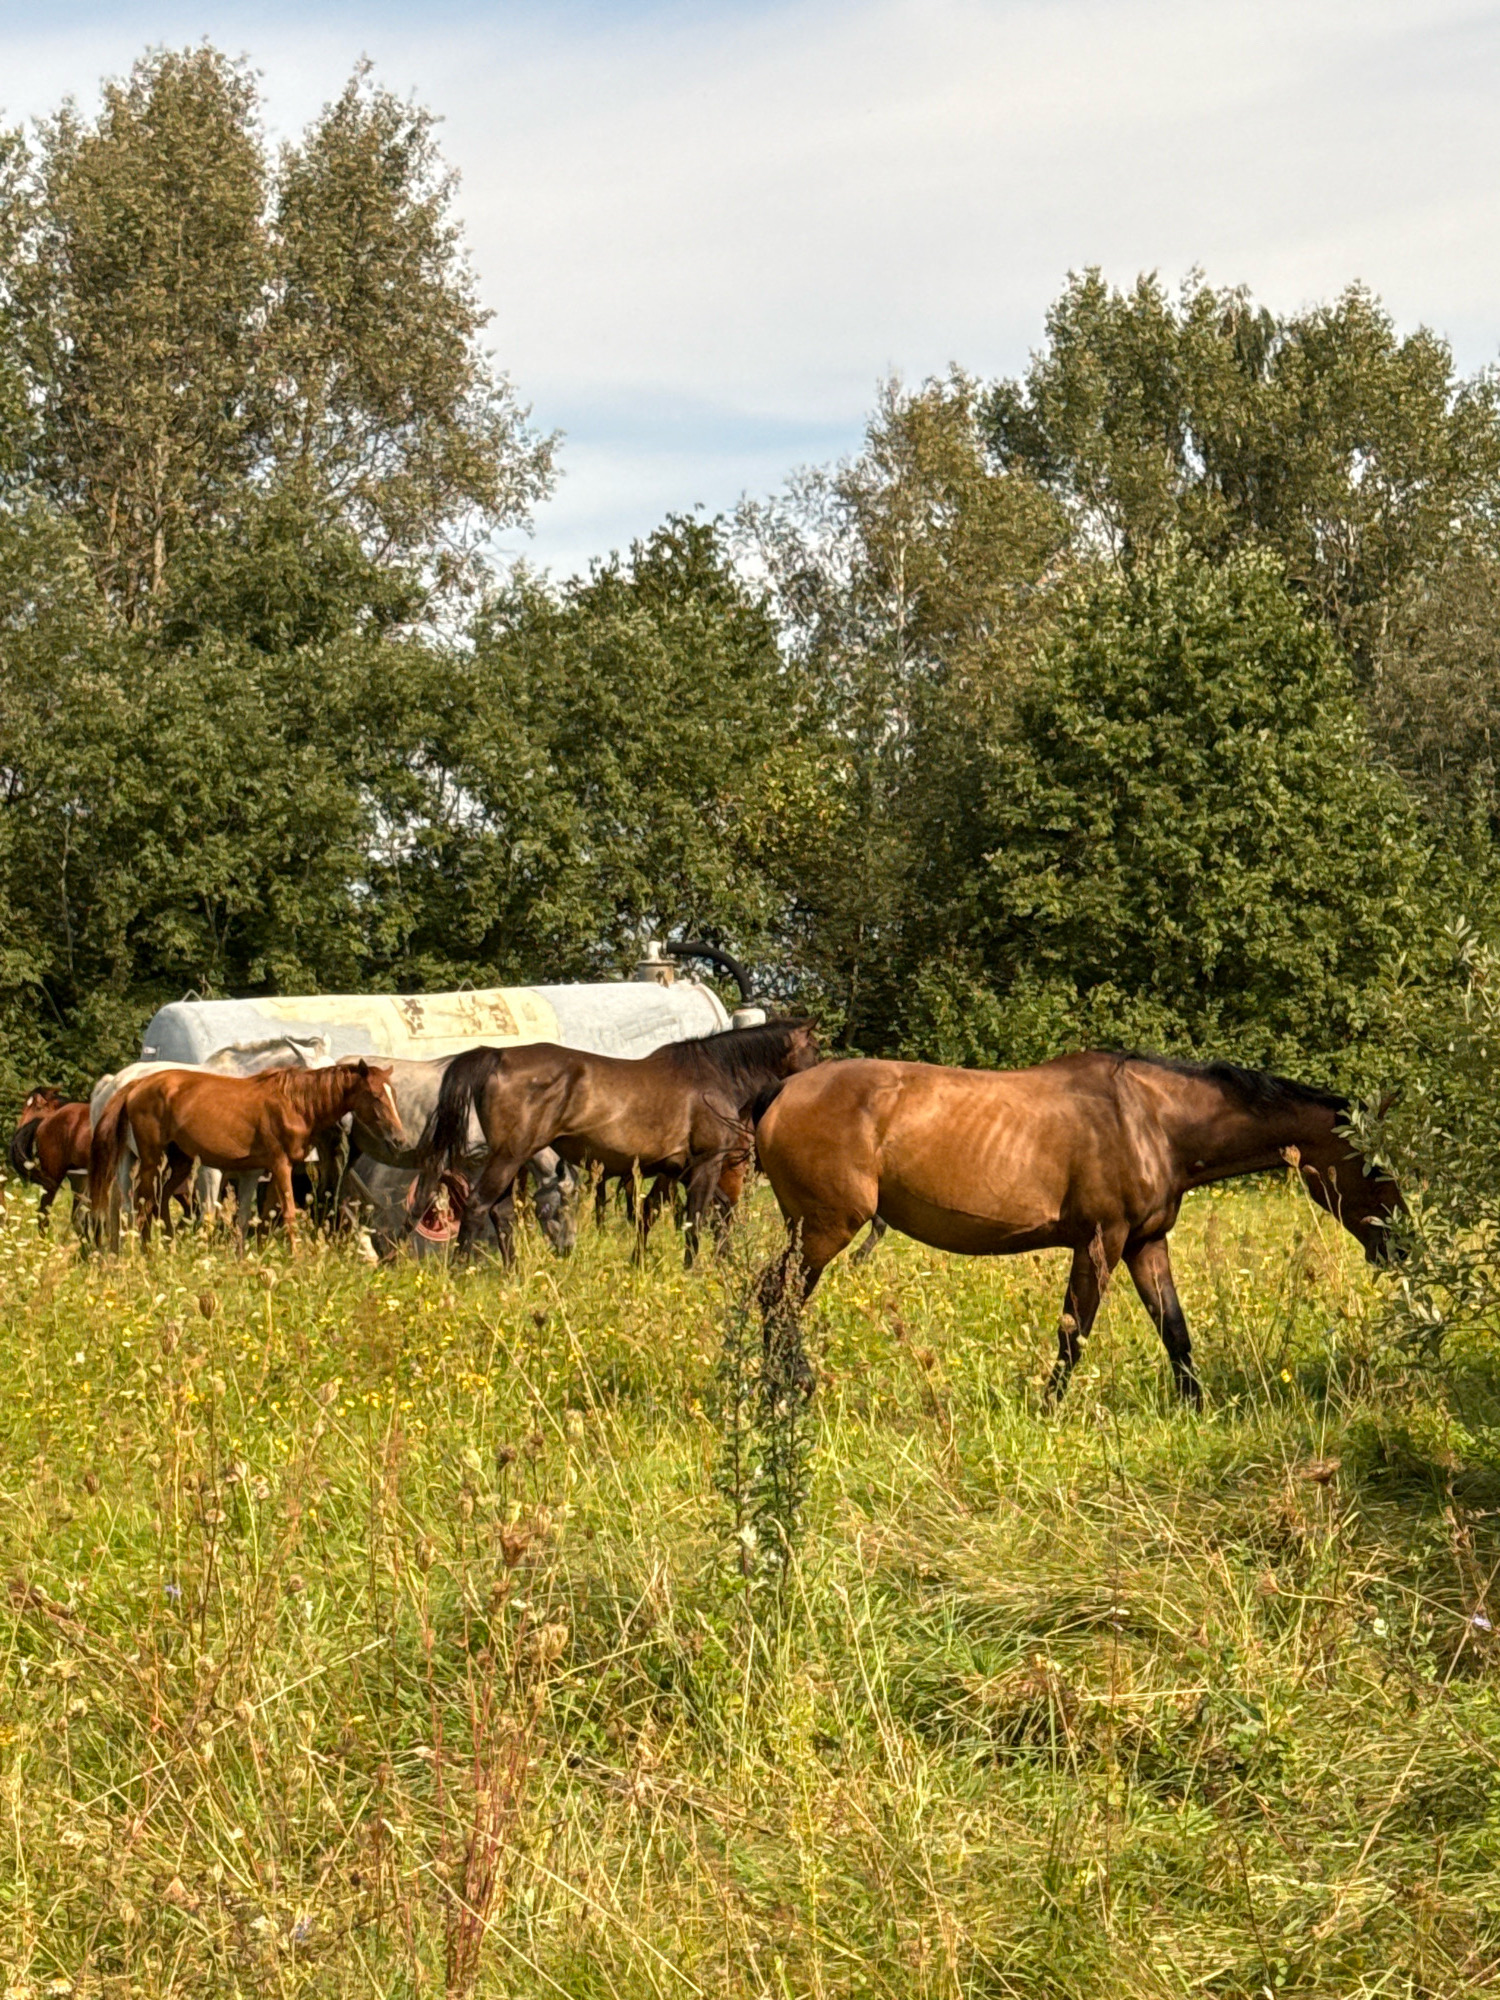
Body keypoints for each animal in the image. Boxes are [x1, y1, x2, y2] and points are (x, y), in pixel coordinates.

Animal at [90, 1060, 404, 1253]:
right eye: (376, 1096)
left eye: (394, 1095)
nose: (399, 1139)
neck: (296, 1103)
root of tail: (134, 1085)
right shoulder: (281, 1165)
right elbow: (288, 1214)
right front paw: (297, 1259)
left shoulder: (266, 1170)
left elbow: (260, 1218)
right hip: (151, 1160)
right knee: (141, 1205)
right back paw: (147, 1254)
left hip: (180, 1162)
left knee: (161, 1201)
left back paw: (168, 1246)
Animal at [418, 1020, 821, 1267]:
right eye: (814, 1050)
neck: (712, 1076)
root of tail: (495, 1056)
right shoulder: (706, 1164)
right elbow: (696, 1219)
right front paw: (693, 1269)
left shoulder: (680, 1170)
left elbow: (690, 1214)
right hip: (509, 1158)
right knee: (477, 1206)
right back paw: (461, 1273)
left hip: (509, 1161)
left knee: (500, 1214)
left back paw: (512, 1273)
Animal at [752, 1051, 1404, 1407]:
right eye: (1374, 1165)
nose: (1398, 1247)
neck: (1152, 1121)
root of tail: (781, 1090)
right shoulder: (1100, 1241)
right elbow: (1073, 1332)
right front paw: (1048, 1408)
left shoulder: (1145, 1243)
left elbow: (1175, 1330)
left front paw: (1196, 1406)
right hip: (822, 1230)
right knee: (776, 1296)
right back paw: (789, 1389)